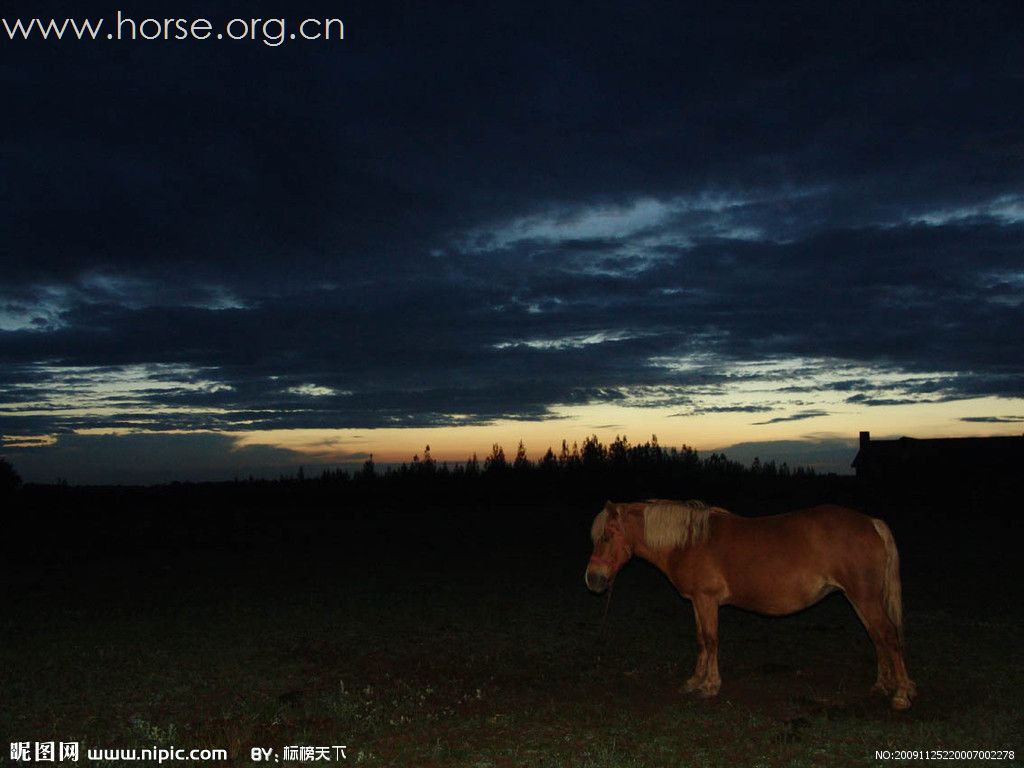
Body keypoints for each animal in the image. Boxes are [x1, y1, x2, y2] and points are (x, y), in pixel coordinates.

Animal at [589, 501, 917, 712]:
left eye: (606, 536)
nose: (592, 579)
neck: (689, 541)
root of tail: (872, 522)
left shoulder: (707, 600)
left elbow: (711, 640)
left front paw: (710, 685)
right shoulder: (697, 601)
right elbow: (701, 640)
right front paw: (694, 681)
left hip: (864, 598)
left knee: (888, 636)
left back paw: (901, 694)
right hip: (860, 598)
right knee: (877, 637)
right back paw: (882, 686)